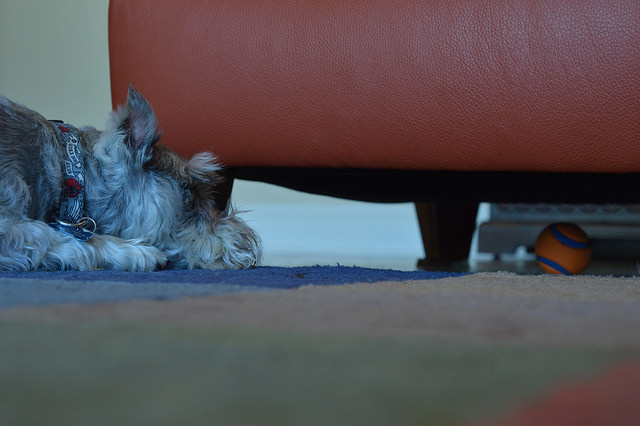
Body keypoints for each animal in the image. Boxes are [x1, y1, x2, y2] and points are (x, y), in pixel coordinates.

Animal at [0, 88, 260, 272]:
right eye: (191, 190)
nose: (248, 239)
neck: (69, 172)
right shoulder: (7, 227)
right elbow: (52, 234)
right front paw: (139, 253)